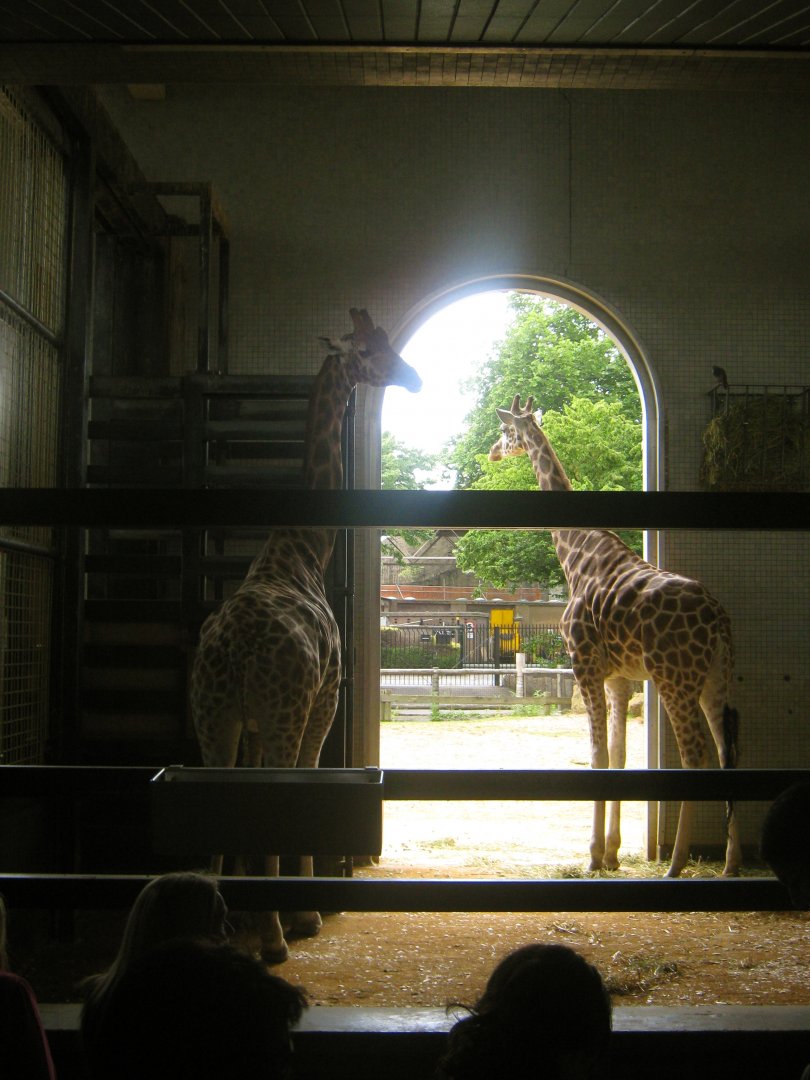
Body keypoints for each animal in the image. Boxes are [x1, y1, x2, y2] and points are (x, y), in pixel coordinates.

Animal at [190, 309, 421, 961]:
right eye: (370, 351)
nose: (413, 377)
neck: (302, 549)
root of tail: (235, 652)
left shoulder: (244, 724)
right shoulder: (325, 698)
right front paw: (301, 912)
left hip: (212, 716)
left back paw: (215, 922)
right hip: (283, 711)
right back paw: (277, 937)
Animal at [490, 395, 741, 878]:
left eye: (507, 432)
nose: (492, 452)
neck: (575, 554)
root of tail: (719, 618)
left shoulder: (585, 665)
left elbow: (598, 756)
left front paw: (592, 855)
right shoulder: (619, 678)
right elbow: (620, 755)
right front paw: (611, 853)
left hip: (674, 679)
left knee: (695, 754)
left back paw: (676, 864)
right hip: (715, 678)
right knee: (728, 751)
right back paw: (731, 864)